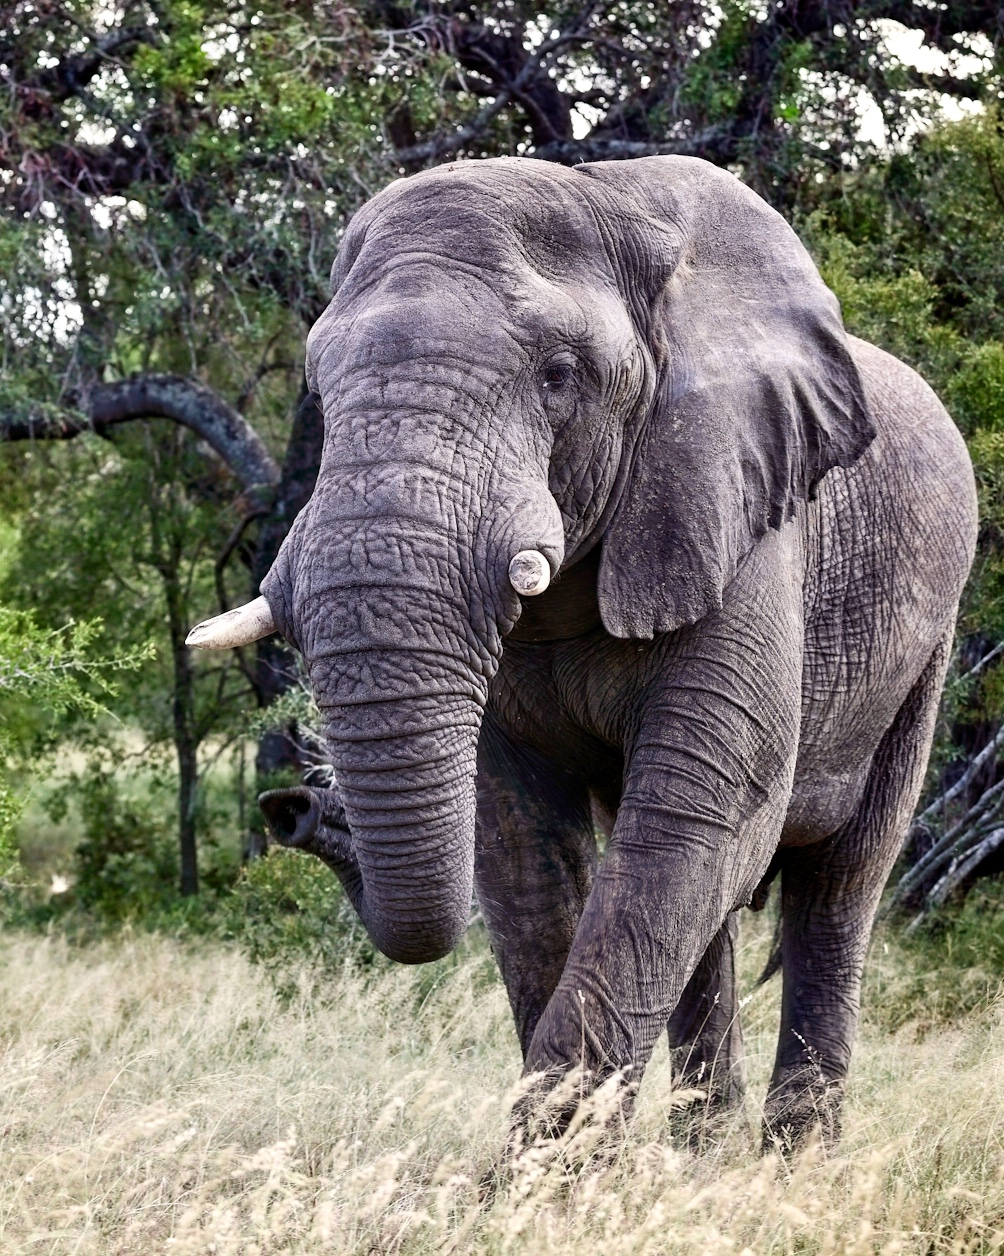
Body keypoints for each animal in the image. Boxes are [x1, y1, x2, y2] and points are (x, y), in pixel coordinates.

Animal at [189, 155, 977, 1148]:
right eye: (318, 390)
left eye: (560, 376)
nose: (290, 807)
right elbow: (523, 842)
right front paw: (559, 1174)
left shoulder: (741, 515)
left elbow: (697, 816)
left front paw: (530, 1178)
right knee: (717, 921)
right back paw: (704, 1157)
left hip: (930, 641)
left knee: (838, 886)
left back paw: (795, 1165)